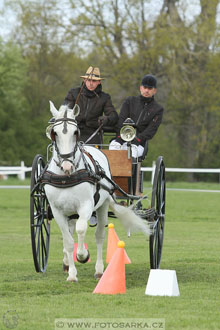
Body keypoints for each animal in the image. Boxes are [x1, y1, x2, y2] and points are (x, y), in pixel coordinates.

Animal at [44, 102, 151, 282]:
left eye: (75, 132)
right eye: (54, 133)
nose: (67, 165)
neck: (66, 177)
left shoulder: (86, 206)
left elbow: (81, 230)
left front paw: (83, 255)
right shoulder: (57, 211)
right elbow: (68, 240)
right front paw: (72, 274)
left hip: (102, 206)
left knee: (99, 235)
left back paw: (100, 270)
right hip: (70, 211)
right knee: (72, 230)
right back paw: (67, 263)